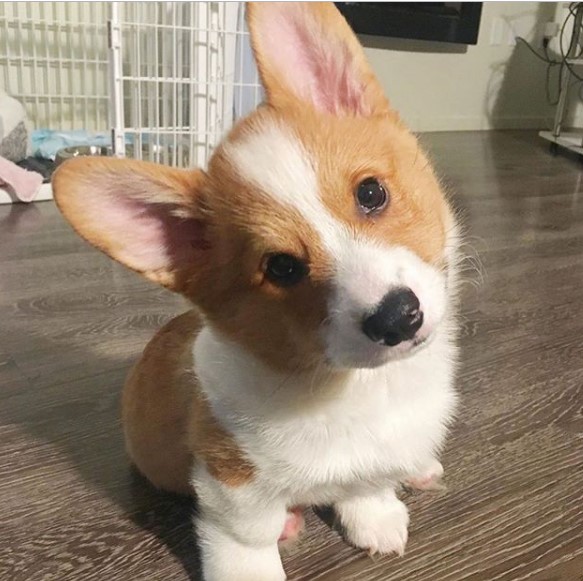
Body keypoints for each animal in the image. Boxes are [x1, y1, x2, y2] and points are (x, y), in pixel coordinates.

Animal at [51, 2, 460, 576]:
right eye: (282, 268)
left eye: (372, 193)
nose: (398, 316)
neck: (356, 386)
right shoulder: (232, 481)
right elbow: (247, 536)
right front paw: (258, 563)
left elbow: (366, 483)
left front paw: (375, 515)